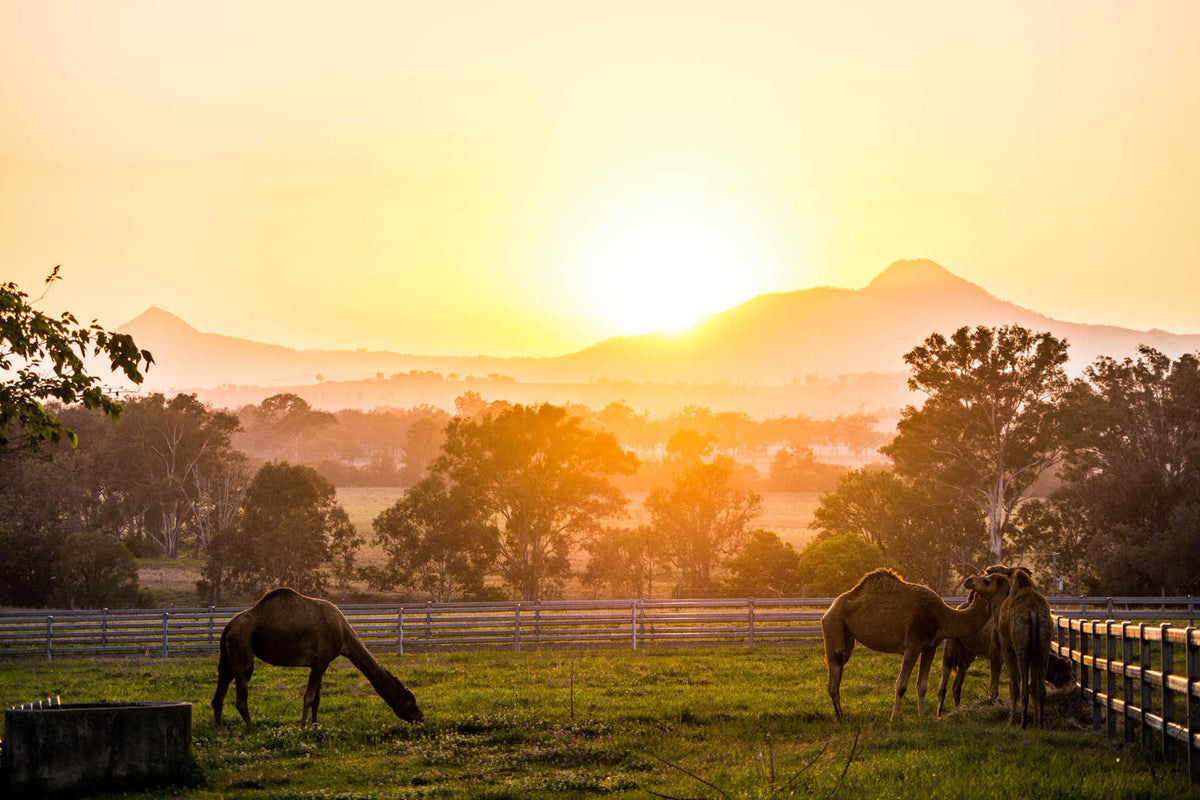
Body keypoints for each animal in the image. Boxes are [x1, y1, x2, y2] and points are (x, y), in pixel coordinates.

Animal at [213, 585, 424, 729]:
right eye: (411, 703)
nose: (421, 718)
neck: (344, 636)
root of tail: (228, 627)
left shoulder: (322, 661)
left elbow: (317, 699)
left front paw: (315, 725)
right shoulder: (321, 659)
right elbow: (308, 697)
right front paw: (303, 726)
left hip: (228, 655)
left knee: (220, 689)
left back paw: (220, 729)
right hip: (242, 646)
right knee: (241, 693)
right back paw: (250, 728)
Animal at [820, 566, 1008, 724]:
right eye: (987, 579)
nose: (968, 580)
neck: (942, 616)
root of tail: (829, 608)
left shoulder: (930, 647)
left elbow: (922, 685)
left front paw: (922, 717)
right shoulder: (912, 645)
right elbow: (901, 684)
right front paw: (894, 718)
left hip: (847, 636)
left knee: (838, 670)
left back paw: (840, 715)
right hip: (834, 624)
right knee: (834, 672)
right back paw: (841, 717)